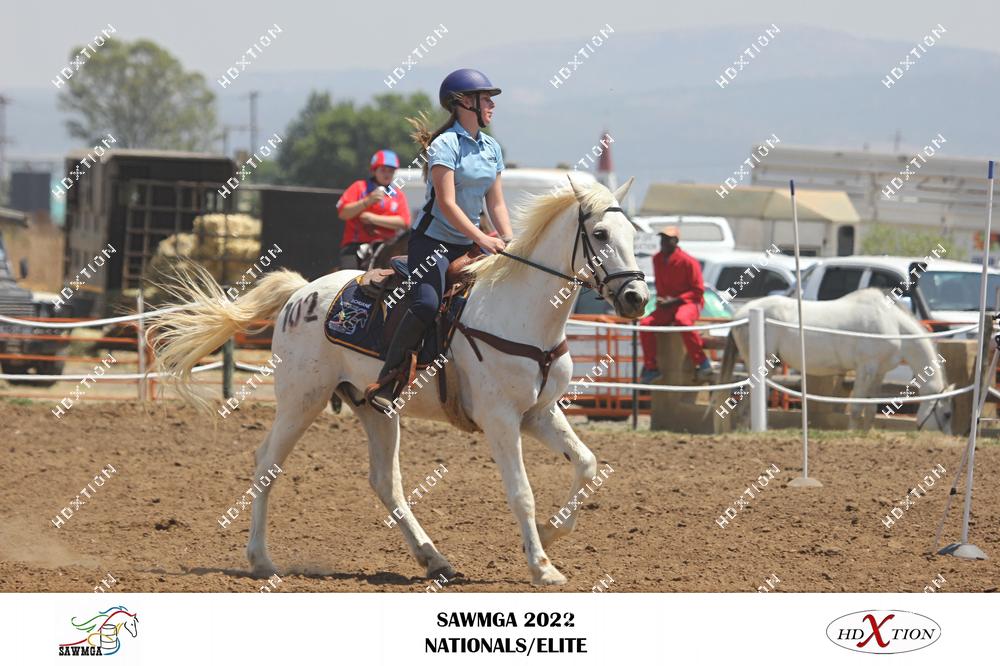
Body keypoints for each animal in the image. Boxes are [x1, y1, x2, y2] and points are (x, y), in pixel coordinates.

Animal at [151, 175, 649, 586]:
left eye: (632, 234)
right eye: (600, 234)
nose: (636, 297)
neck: (521, 312)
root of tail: (302, 291)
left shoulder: (539, 414)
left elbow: (587, 464)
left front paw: (550, 531)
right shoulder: (501, 421)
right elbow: (521, 492)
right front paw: (542, 565)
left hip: (373, 407)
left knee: (384, 482)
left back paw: (434, 559)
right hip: (301, 401)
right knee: (266, 464)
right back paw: (260, 559)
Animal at [716, 288, 954, 432]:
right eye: (947, 414)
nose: (947, 435)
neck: (893, 324)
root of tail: (742, 314)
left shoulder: (879, 373)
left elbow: (870, 409)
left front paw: (865, 434)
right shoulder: (865, 369)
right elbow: (857, 407)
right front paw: (851, 434)